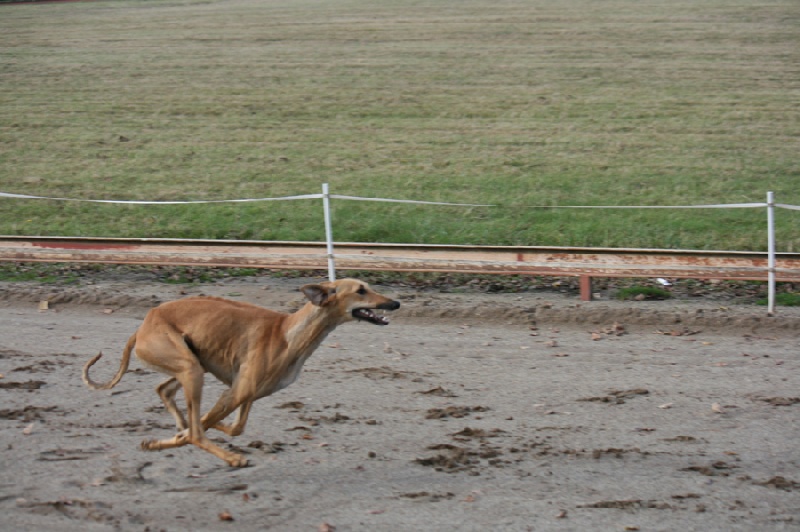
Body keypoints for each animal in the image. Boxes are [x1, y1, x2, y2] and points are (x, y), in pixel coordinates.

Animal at [83, 278, 400, 466]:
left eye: (367, 286)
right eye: (360, 291)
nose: (395, 303)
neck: (289, 333)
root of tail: (143, 325)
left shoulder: (247, 391)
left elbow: (235, 427)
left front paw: (176, 434)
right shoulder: (238, 391)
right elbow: (201, 428)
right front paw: (166, 440)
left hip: (192, 364)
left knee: (164, 390)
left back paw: (182, 424)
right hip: (190, 368)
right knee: (196, 431)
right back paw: (231, 458)